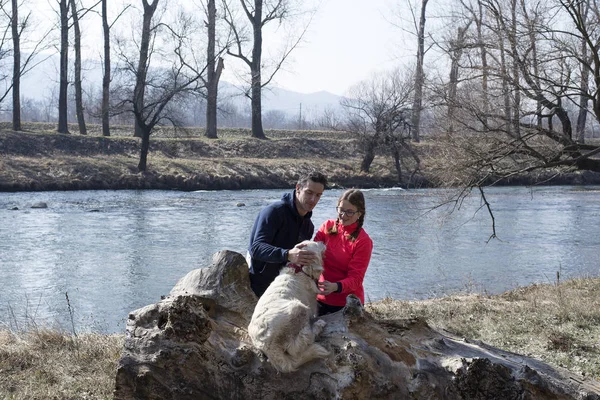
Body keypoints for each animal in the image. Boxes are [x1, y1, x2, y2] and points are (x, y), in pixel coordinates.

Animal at [247, 239, 330, 374]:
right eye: (315, 243)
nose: (322, 241)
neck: (300, 269)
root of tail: (267, 346)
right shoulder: (312, 304)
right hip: (297, 308)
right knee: (299, 345)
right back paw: (318, 326)